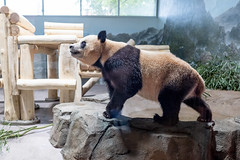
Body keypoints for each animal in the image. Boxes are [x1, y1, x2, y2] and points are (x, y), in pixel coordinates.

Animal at [69, 30, 212, 125]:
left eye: (83, 43)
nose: (71, 46)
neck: (106, 51)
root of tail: (199, 79)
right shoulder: (107, 70)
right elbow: (113, 88)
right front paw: (114, 112)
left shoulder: (121, 62)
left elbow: (130, 86)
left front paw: (108, 112)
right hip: (187, 84)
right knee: (193, 100)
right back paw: (205, 117)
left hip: (176, 77)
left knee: (168, 98)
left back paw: (163, 119)